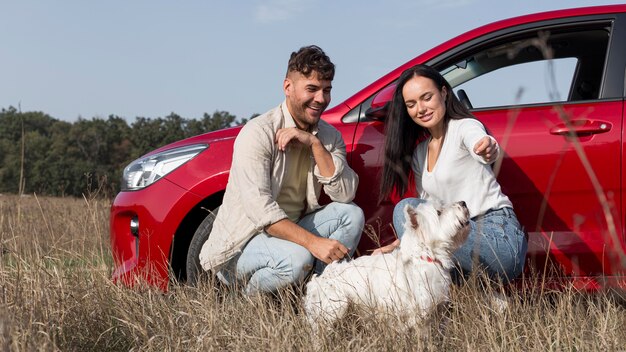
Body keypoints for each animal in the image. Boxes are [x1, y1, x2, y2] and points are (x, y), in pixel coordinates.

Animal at [302, 201, 468, 332]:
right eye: (439, 212)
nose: (463, 202)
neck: (424, 256)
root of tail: (315, 282)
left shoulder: (438, 309)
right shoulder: (420, 313)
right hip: (336, 307)